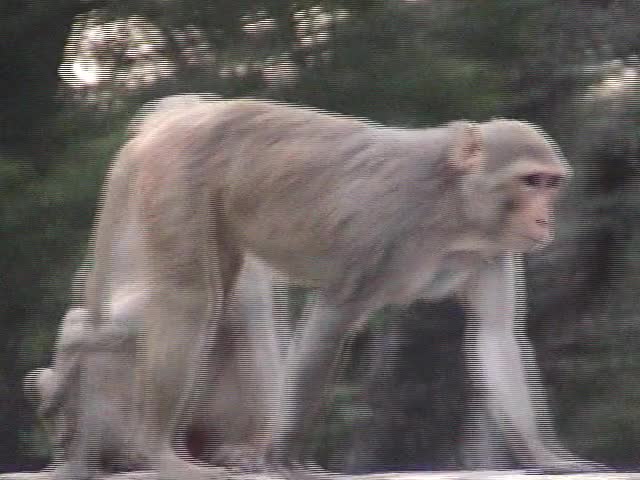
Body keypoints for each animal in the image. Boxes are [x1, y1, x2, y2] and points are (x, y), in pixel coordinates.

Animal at [78, 95, 604, 479]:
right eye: (531, 181)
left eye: (551, 184)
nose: (544, 219)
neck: (454, 205)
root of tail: (169, 122)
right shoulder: (387, 221)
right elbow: (333, 317)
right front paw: (284, 457)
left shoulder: (494, 250)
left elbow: (496, 336)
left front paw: (546, 456)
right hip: (177, 173)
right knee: (191, 298)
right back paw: (159, 452)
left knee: (221, 298)